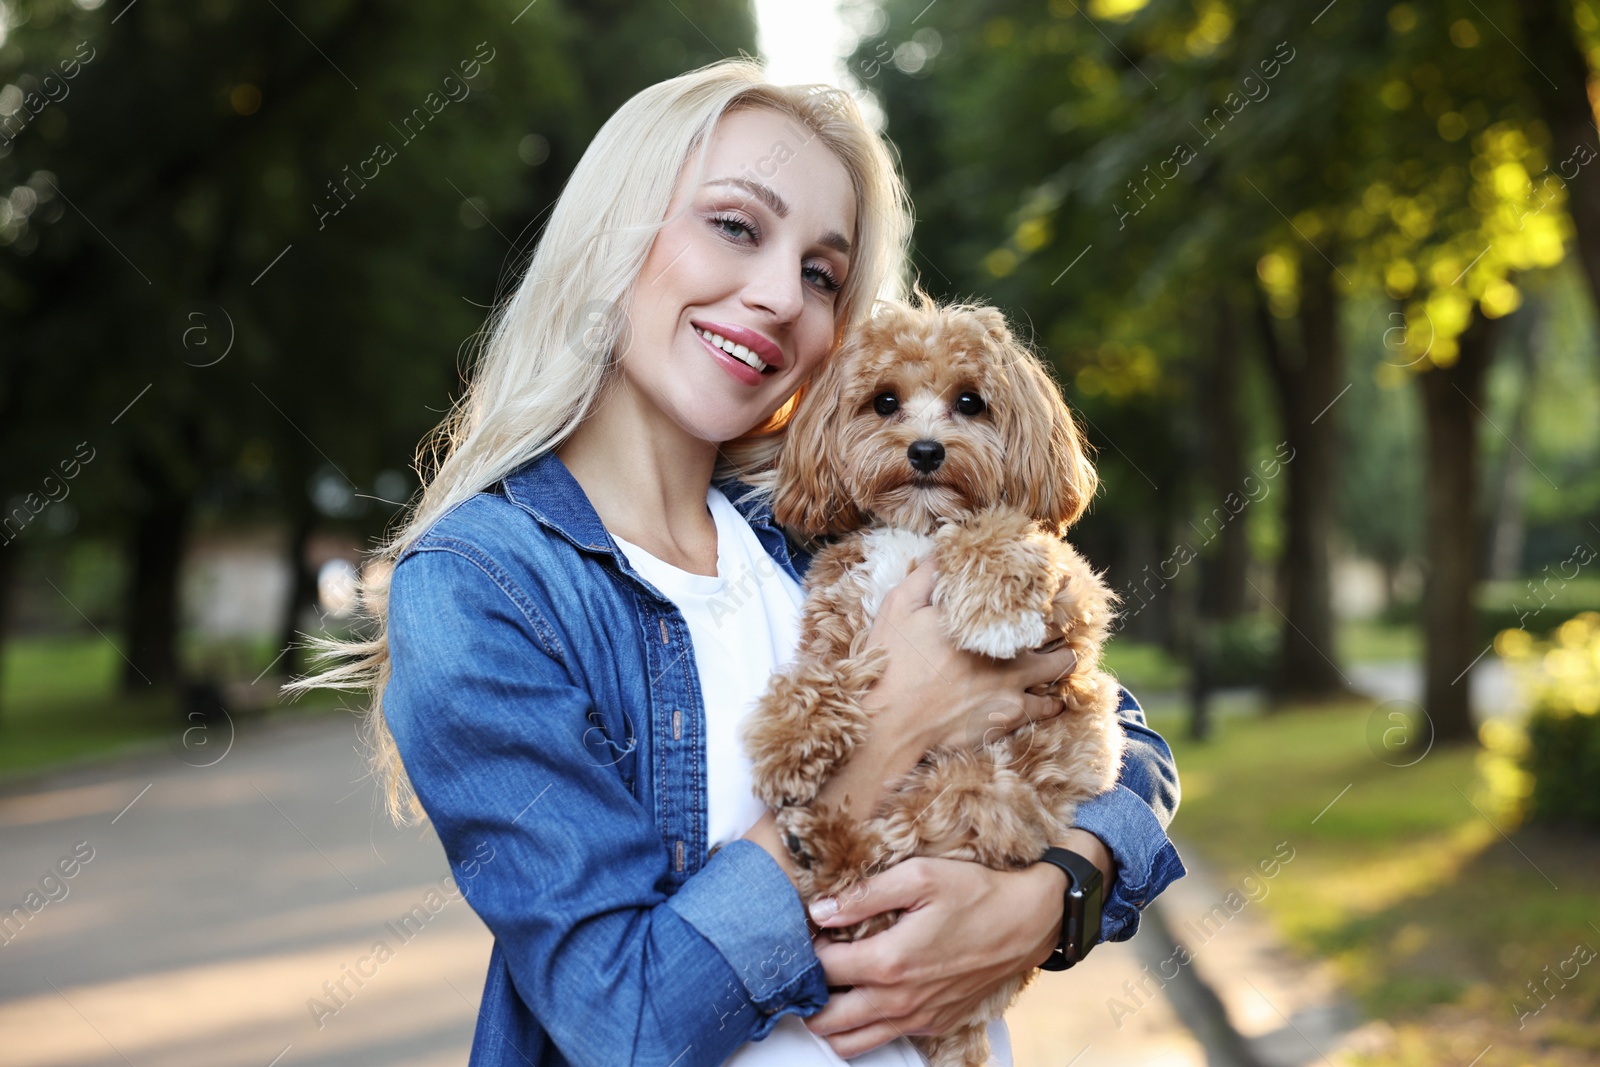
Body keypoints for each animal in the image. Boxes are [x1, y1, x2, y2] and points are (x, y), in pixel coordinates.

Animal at [739, 295, 1126, 1067]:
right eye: (884, 401)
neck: (917, 529)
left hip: (974, 791)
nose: (924, 450)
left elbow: (999, 531)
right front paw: (788, 744)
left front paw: (994, 610)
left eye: (970, 402)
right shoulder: (841, 613)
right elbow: (817, 677)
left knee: (888, 855)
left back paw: (823, 843)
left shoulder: (1075, 603)